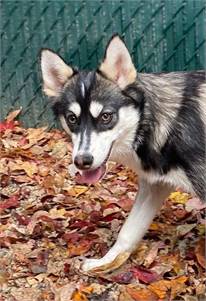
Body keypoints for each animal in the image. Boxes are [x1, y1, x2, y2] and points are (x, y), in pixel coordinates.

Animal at [39, 34, 205, 272]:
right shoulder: (154, 186)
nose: (82, 161)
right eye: (72, 119)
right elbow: (127, 232)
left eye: (106, 116)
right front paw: (105, 263)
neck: (167, 123)